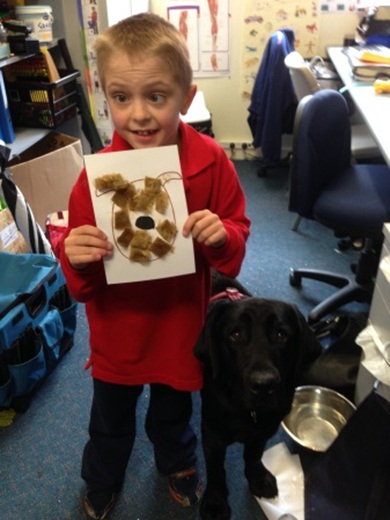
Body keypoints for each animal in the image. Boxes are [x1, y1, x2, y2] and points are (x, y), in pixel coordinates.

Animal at [194, 280, 320, 520]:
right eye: (235, 335)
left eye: (281, 335)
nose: (264, 385)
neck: (248, 412)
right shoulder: (212, 432)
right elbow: (215, 469)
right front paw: (215, 502)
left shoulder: (267, 426)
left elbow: (254, 454)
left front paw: (258, 478)